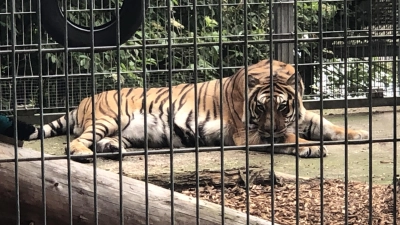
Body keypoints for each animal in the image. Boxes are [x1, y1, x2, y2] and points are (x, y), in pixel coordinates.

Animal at [20, 59, 368, 162]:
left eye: (283, 108)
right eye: (261, 108)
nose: (272, 128)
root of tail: (82, 101)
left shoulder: (302, 114)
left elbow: (326, 124)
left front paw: (356, 133)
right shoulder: (248, 134)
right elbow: (290, 140)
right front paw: (311, 147)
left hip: (126, 130)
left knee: (108, 141)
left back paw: (115, 150)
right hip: (111, 117)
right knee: (76, 141)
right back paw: (84, 154)